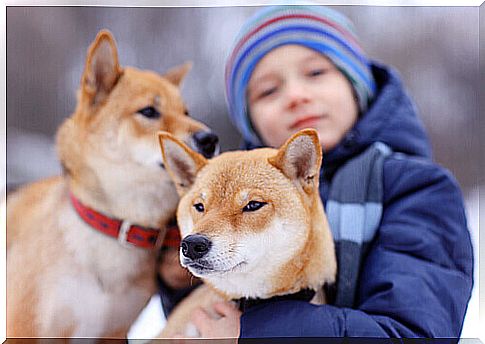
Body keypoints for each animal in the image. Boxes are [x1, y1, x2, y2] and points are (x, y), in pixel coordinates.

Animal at [5, 30, 217, 338]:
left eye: (186, 112)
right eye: (149, 111)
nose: (210, 139)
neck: (113, 225)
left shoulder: (113, 332)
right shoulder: (24, 327)